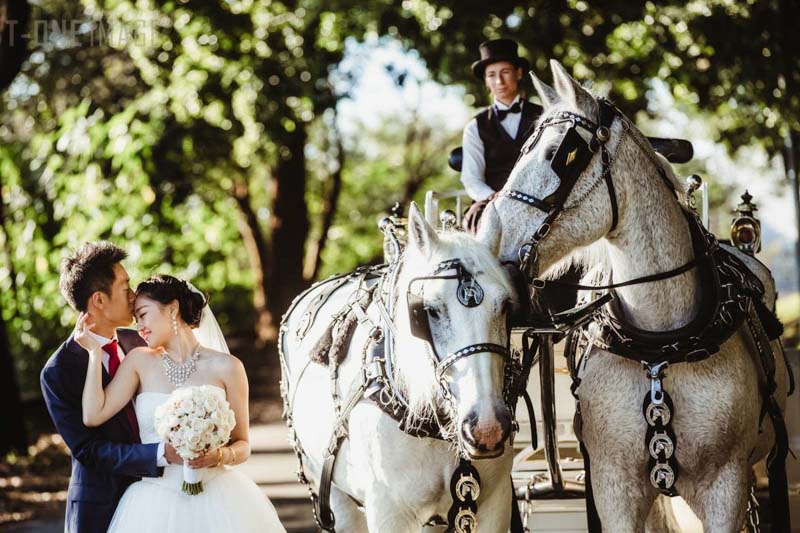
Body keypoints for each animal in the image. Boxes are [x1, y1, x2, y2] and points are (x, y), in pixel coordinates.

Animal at [282, 205, 520, 532]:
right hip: (330, 487)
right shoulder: (388, 511)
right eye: (429, 310)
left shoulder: (493, 506)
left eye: (506, 306)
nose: (487, 428)